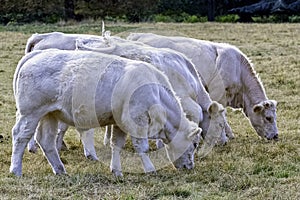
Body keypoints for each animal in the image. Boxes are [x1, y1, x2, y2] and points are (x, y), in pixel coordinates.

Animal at [10, 48, 202, 177]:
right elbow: (142, 147)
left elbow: (116, 145)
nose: (190, 167)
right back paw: (16, 170)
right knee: (20, 136)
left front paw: (116, 170)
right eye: (194, 144)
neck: (156, 91)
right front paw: (150, 169)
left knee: (46, 141)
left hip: (50, 114)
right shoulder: (137, 121)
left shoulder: (120, 123)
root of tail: (37, 54)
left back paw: (60, 170)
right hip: (30, 113)